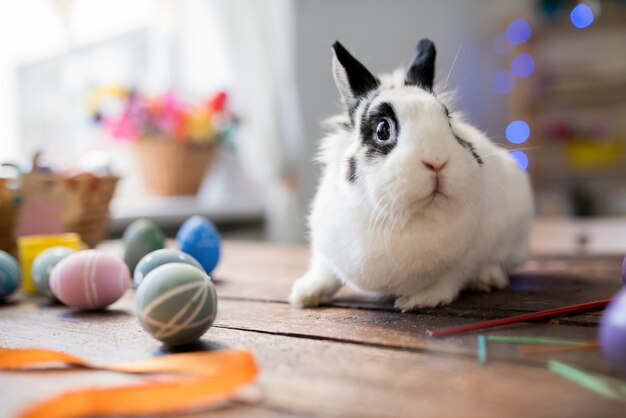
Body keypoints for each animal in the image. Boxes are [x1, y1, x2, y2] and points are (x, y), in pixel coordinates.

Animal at [288, 40, 532, 310]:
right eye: (382, 129)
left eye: (448, 121)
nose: (437, 161)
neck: (404, 218)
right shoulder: (326, 250)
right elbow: (325, 271)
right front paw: (304, 295)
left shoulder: (468, 257)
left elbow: (451, 278)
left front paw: (419, 300)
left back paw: (487, 279)